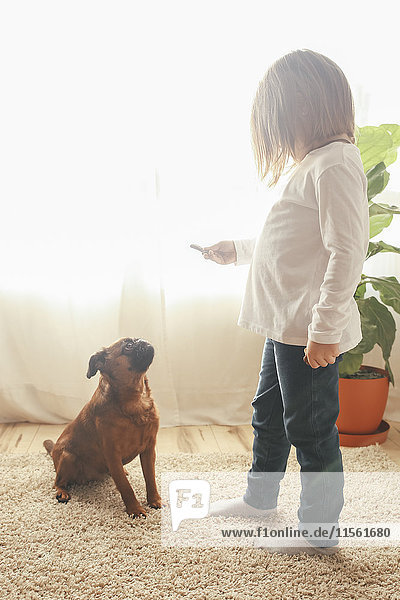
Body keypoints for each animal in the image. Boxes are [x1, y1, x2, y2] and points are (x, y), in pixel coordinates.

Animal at [43, 336, 162, 516]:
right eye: (128, 346)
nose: (141, 340)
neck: (135, 401)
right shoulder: (112, 454)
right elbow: (125, 487)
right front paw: (135, 510)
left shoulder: (149, 450)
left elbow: (150, 479)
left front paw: (154, 500)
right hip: (67, 457)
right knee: (58, 481)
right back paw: (61, 492)